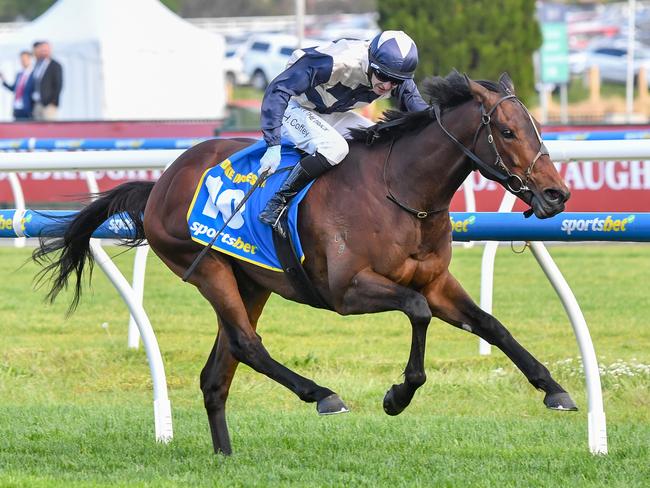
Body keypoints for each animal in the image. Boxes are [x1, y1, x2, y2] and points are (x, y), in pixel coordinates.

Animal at [35, 70, 572, 456]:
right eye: (507, 131)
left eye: (537, 129)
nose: (556, 194)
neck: (401, 191)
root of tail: (161, 182)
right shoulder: (348, 291)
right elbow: (417, 312)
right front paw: (397, 396)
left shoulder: (437, 282)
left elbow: (492, 325)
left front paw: (553, 388)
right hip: (205, 267)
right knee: (247, 346)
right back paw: (321, 395)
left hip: (251, 281)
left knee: (218, 371)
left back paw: (225, 454)